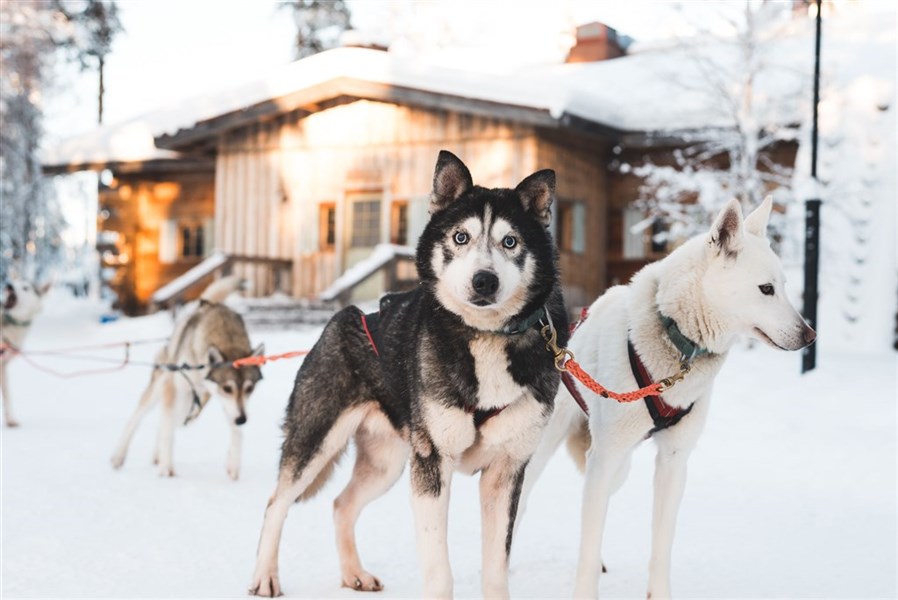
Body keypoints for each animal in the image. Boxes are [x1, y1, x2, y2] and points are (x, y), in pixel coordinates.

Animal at [0, 278, 49, 428]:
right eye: (13, 282)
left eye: (25, 287)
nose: (9, 285)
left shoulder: (3, 366)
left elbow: (7, 396)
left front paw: (11, 419)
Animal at [111, 276, 262, 478]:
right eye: (227, 388)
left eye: (249, 388)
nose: (242, 419)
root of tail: (209, 304)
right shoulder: (175, 388)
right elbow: (166, 431)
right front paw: (166, 468)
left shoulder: (230, 404)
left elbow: (236, 431)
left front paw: (233, 465)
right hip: (164, 389)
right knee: (138, 418)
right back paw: (119, 455)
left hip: (192, 404)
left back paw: (157, 454)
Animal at [248, 152, 564, 596]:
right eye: (460, 237)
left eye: (510, 241)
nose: (484, 280)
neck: (483, 337)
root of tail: (350, 315)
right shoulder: (431, 466)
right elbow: (439, 571)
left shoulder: (506, 472)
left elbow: (496, 568)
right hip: (317, 440)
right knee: (276, 502)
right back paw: (265, 576)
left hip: (387, 464)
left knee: (341, 504)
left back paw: (353, 573)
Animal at [520, 197, 816, 596]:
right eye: (766, 289)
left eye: (784, 286)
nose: (810, 336)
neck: (677, 339)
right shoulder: (606, 456)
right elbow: (588, 543)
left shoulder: (673, 462)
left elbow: (659, 545)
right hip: (548, 453)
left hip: (617, 468)